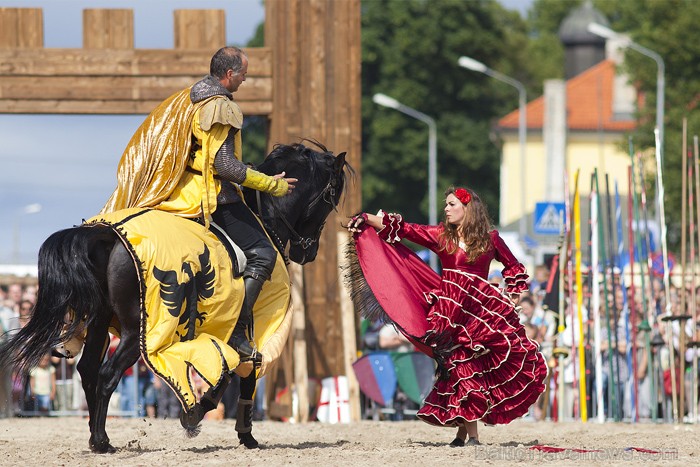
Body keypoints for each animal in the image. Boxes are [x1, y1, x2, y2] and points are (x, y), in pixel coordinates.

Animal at [0, 142, 350, 454]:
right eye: (332, 195)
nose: (309, 251)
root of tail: (107, 235)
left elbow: (237, 370)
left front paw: (239, 430)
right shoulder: (251, 330)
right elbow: (237, 370)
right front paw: (207, 417)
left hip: (100, 321)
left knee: (87, 370)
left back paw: (98, 437)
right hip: (135, 332)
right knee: (107, 374)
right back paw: (100, 442)